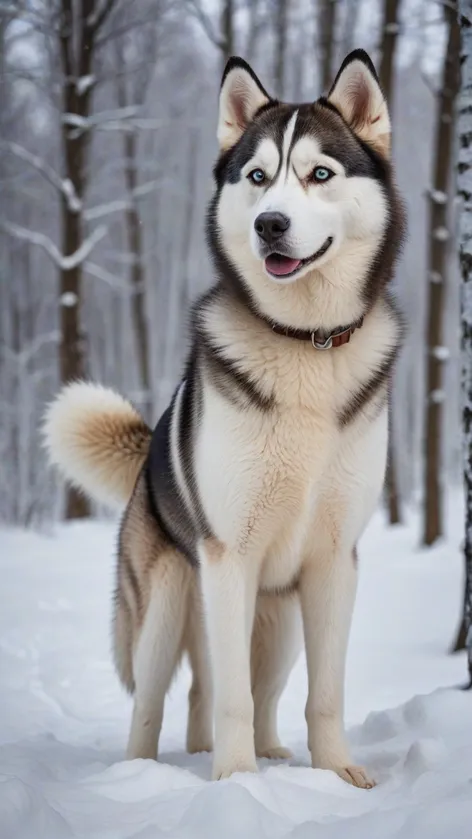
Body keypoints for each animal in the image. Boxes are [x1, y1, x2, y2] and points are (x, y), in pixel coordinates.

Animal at [45, 50, 406, 788]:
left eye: (319, 174)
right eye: (258, 177)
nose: (269, 224)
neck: (306, 343)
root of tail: (149, 457)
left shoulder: (334, 561)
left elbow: (324, 693)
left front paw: (334, 773)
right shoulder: (227, 555)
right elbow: (228, 695)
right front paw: (236, 783)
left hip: (279, 616)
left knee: (249, 690)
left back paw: (269, 752)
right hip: (168, 604)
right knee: (164, 696)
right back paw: (145, 772)